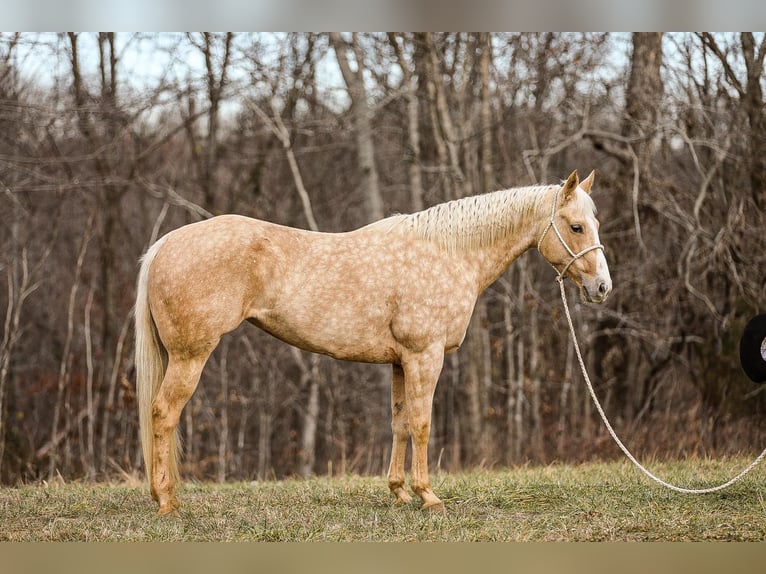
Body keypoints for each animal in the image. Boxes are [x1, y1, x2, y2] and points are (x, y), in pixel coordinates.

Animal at [134, 169, 612, 516]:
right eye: (575, 227)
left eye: (595, 223)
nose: (602, 288)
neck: (447, 253)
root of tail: (164, 244)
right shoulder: (425, 356)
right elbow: (422, 424)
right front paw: (428, 497)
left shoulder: (401, 361)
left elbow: (399, 423)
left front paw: (399, 492)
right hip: (190, 356)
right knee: (163, 414)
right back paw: (167, 503)